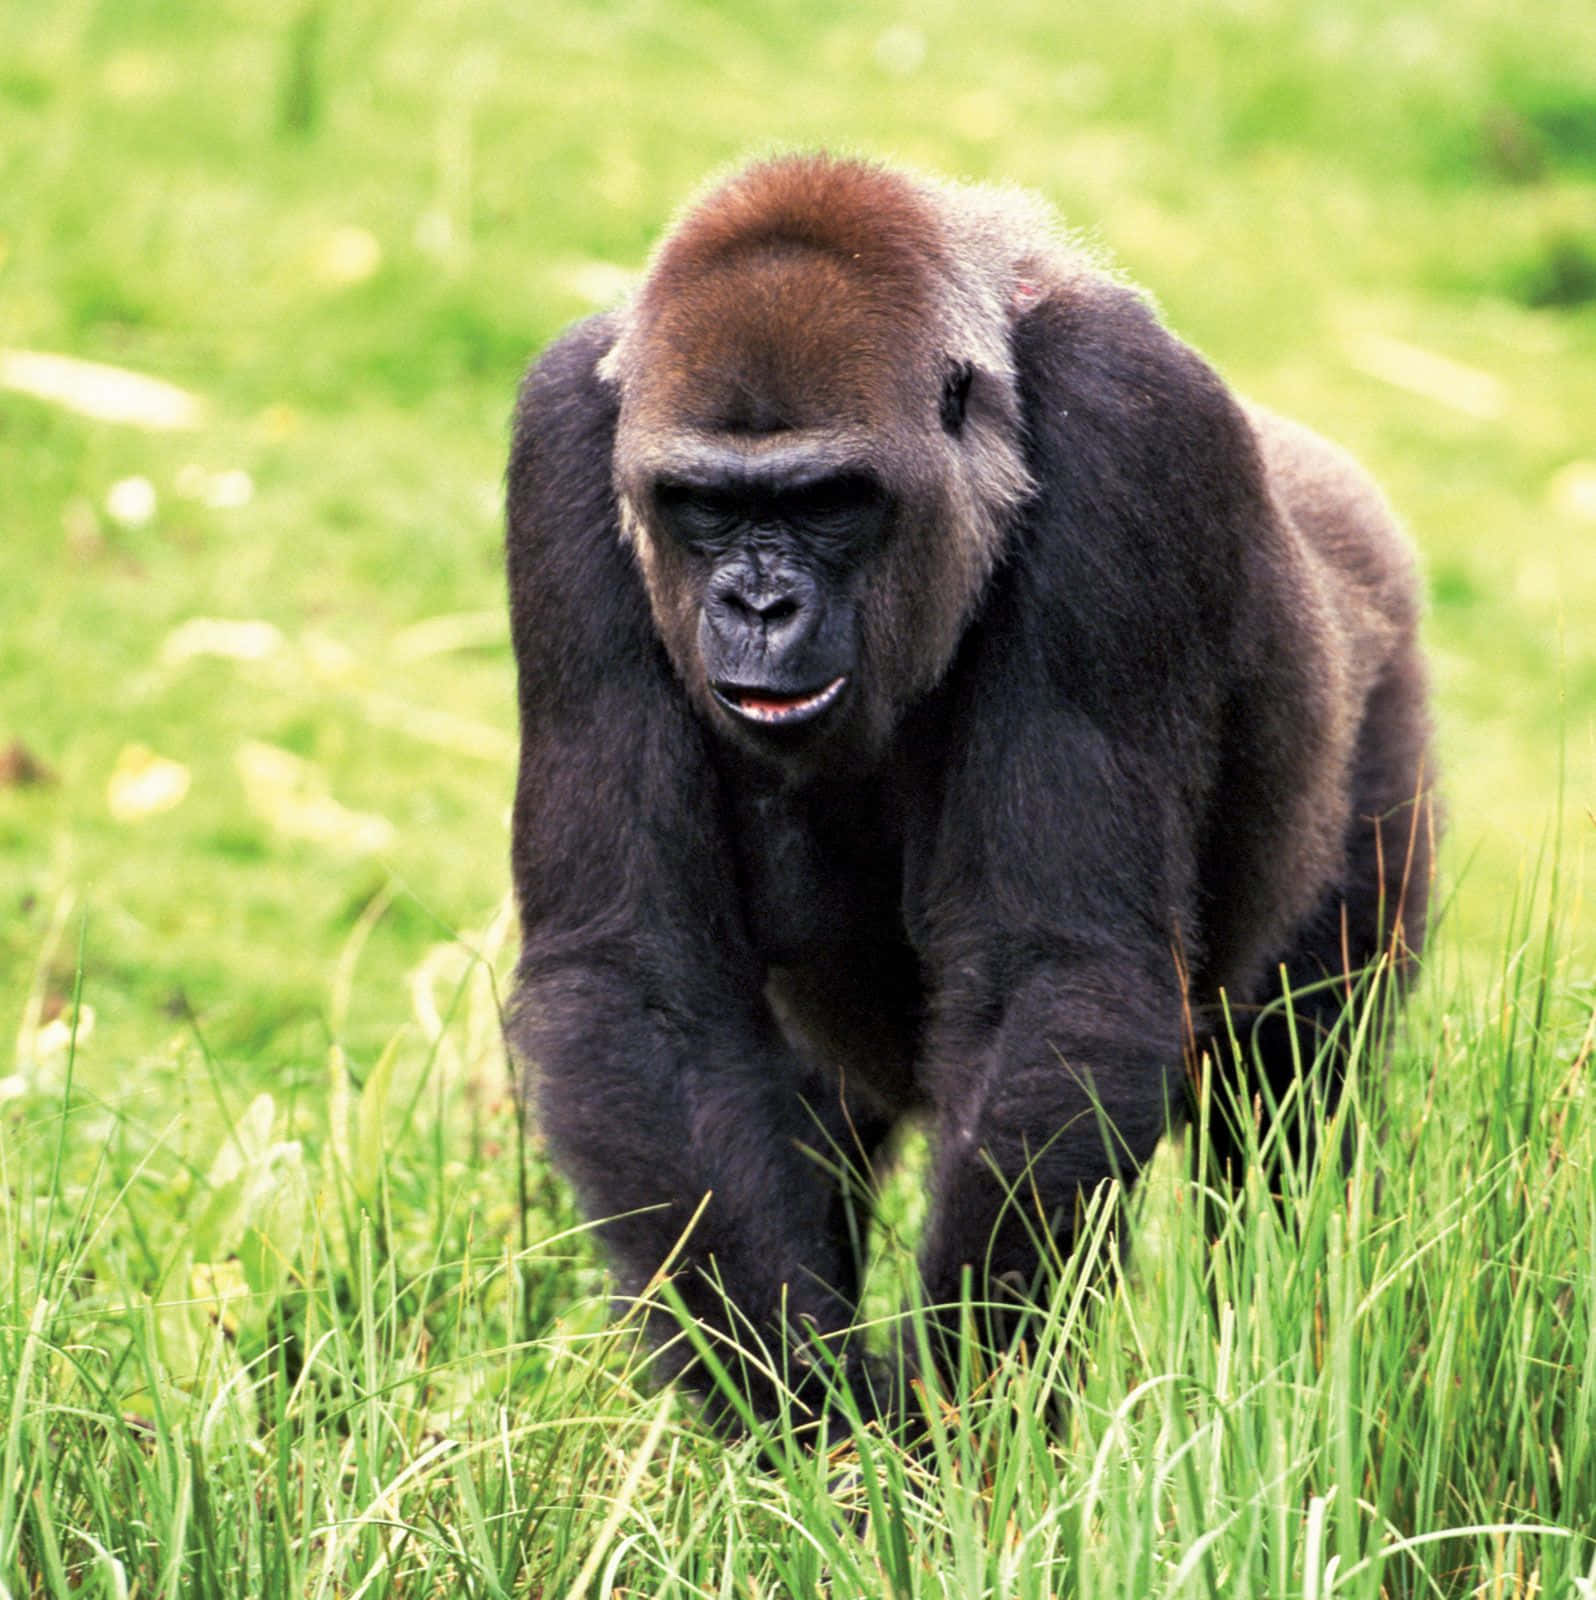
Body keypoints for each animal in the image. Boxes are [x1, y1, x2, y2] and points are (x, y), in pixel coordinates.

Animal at [504, 153, 1434, 1430]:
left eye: (829, 500)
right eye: (704, 504)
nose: (758, 606)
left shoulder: (1128, 424)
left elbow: (1054, 972)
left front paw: (955, 1421)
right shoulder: (562, 440)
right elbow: (638, 978)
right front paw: (798, 1411)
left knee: (1280, 1129)